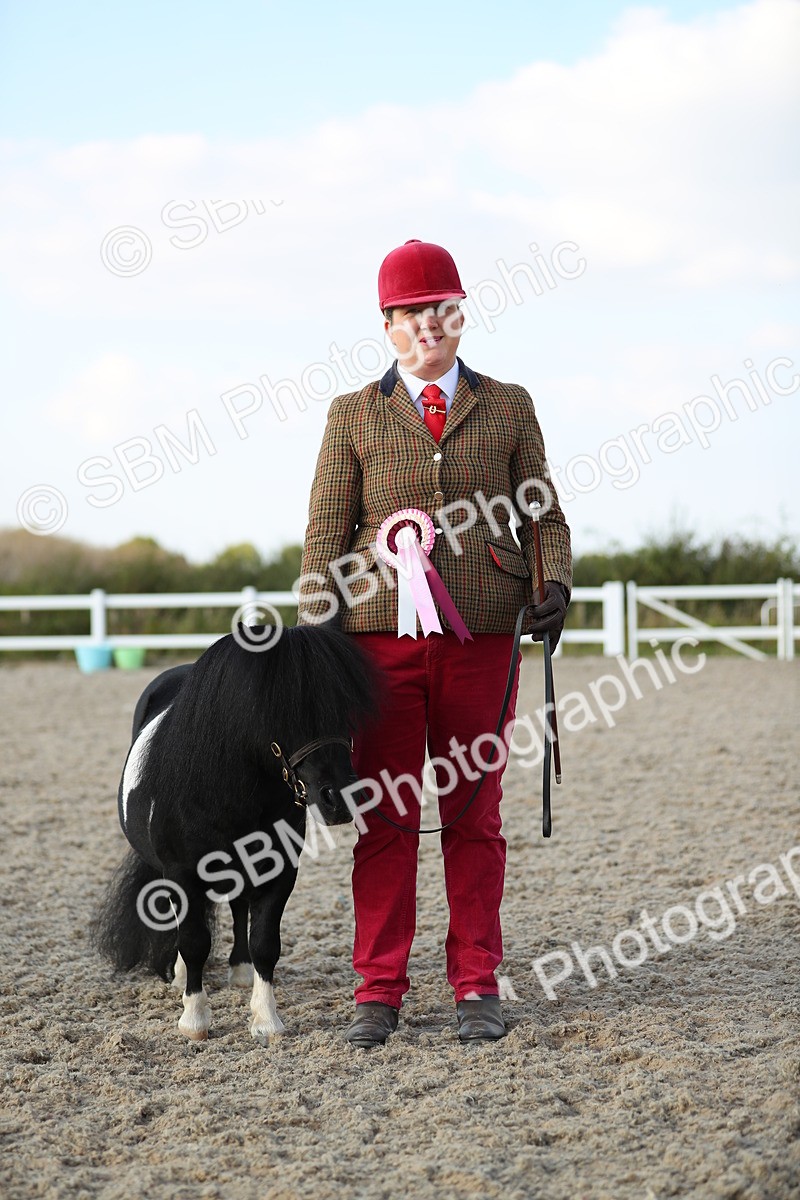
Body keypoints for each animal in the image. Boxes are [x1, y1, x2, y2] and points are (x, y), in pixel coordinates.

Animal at [93, 622, 375, 1044]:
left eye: (344, 707)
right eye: (283, 707)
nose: (340, 798)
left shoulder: (279, 871)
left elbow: (265, 942)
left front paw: (266, 1020)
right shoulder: (182, 873)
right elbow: (194, 941)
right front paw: (194, 1020)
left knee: (240, 905)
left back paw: (240, 971)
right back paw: (181, 975)